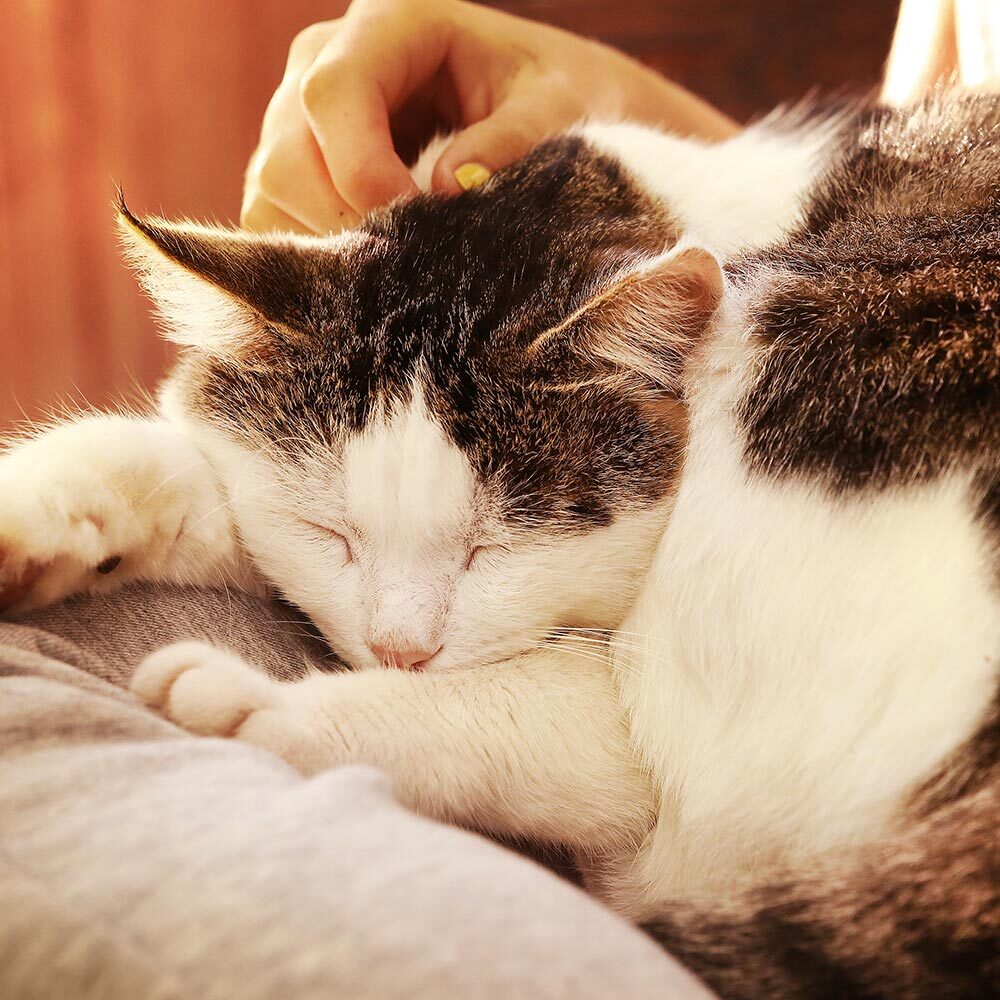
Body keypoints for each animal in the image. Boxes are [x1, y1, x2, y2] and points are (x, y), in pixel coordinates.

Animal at [1, 92, 1000, 992]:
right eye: (332, 535)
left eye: (496, 548)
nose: (398, 651)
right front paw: (36, 513)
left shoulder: (628, 734)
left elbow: (502, 712)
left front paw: (260, 706)